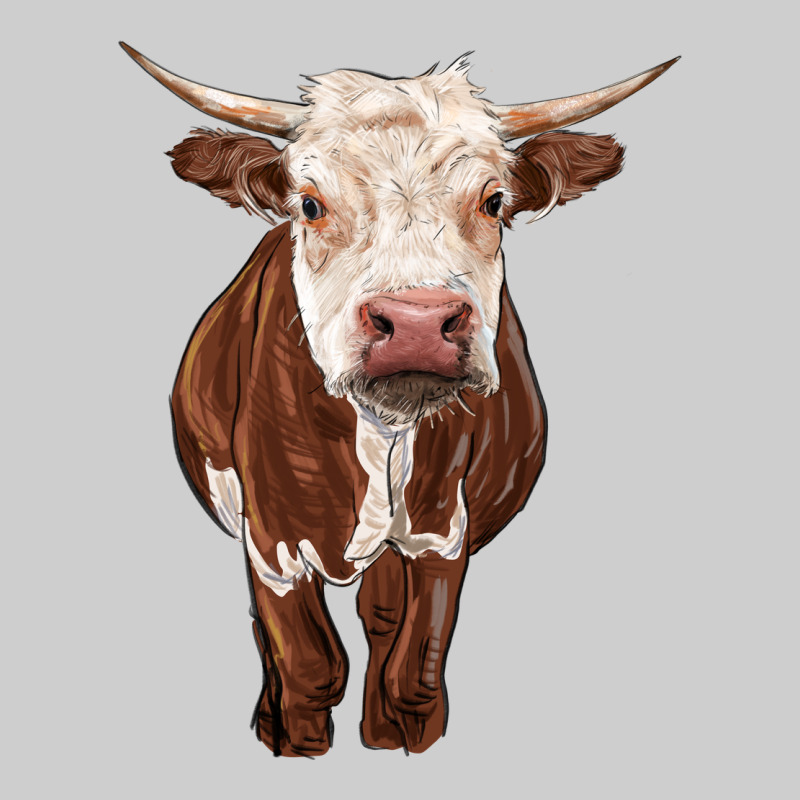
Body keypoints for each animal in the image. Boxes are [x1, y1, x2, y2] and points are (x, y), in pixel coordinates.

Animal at [122, 43, 677, 756]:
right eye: (309, 204)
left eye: (495, 201)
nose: (417, 323)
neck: (381, 434)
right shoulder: (270, 541)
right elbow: (310, 667)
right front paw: (295, 745)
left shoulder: (442, 529)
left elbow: (414, 671)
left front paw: (403, 740)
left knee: (381, 620)